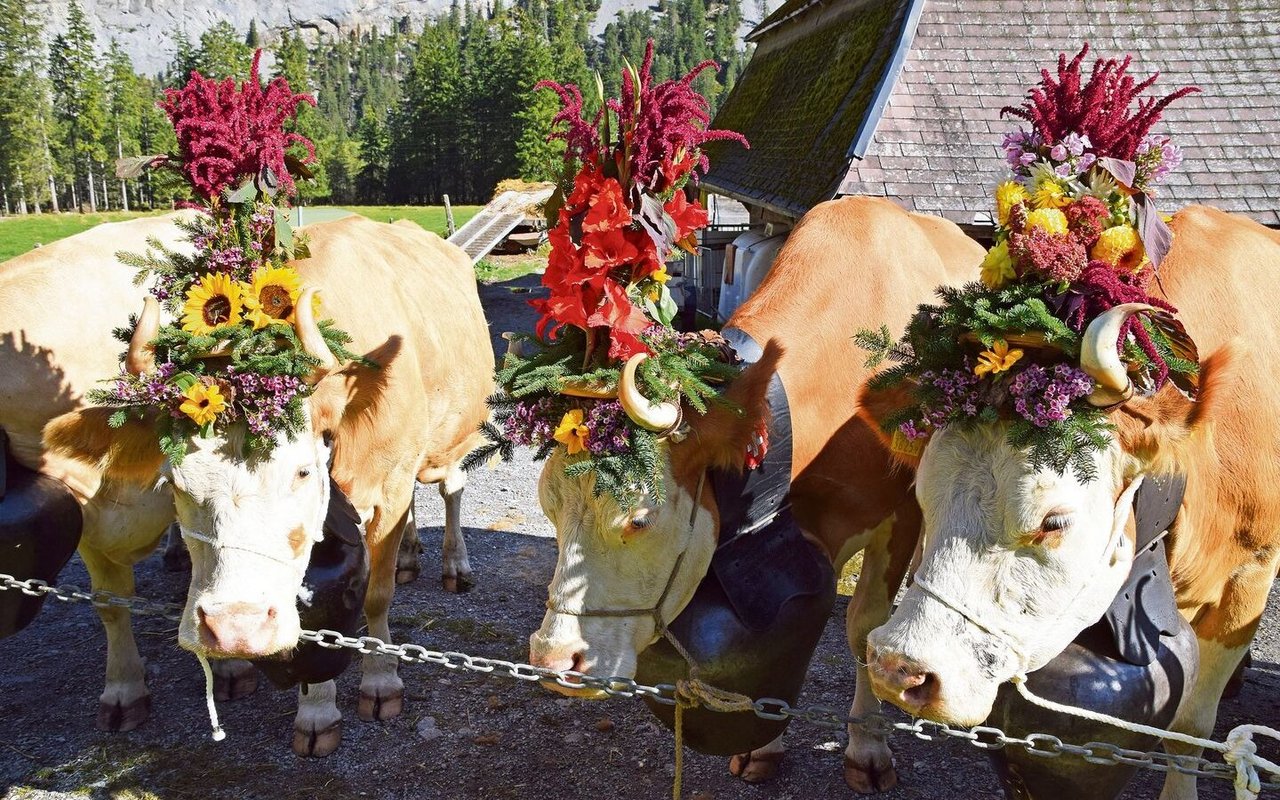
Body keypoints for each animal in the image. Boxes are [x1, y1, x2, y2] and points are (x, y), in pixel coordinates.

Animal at [1, 212, 494, 752]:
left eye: (302, 470)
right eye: (174, 483)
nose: (236, 626)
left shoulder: (390, 488)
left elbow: (373, 596)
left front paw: (378, 683)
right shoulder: (90, 518)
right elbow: (112, 605)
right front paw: (313, 709)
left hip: (455, 435)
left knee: (450, 488)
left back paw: (453, 564)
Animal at [524, 194, 983, 788]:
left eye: (640, 518)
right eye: (548, 510)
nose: (552, 661)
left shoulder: (899, 512)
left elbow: (865, 630)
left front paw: (868, 748)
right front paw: (765, 743)